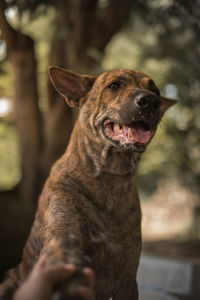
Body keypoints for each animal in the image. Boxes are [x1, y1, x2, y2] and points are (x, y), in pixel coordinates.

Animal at [0, 68, 176, 300]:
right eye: (114, 85)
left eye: (155, 90)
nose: (151, 102)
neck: (109, 179)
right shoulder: (62, 231)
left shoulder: (127, 280)